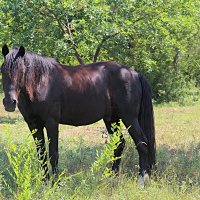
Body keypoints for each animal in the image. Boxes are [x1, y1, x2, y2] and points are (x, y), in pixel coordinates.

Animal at [0, 45, 155, 184]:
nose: (9, 102)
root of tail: (134, 74)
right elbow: (41, 154)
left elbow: (53, 154)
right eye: (2, 71)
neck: (41, 82)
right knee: (119, 144)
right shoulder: (33, 124)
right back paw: (112, 177)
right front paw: (44, 182)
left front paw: (55, 184)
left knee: (142, 143)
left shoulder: (51, 123)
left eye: (21, 71)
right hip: (112, 119)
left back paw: (142, 179)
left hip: (129, 118)